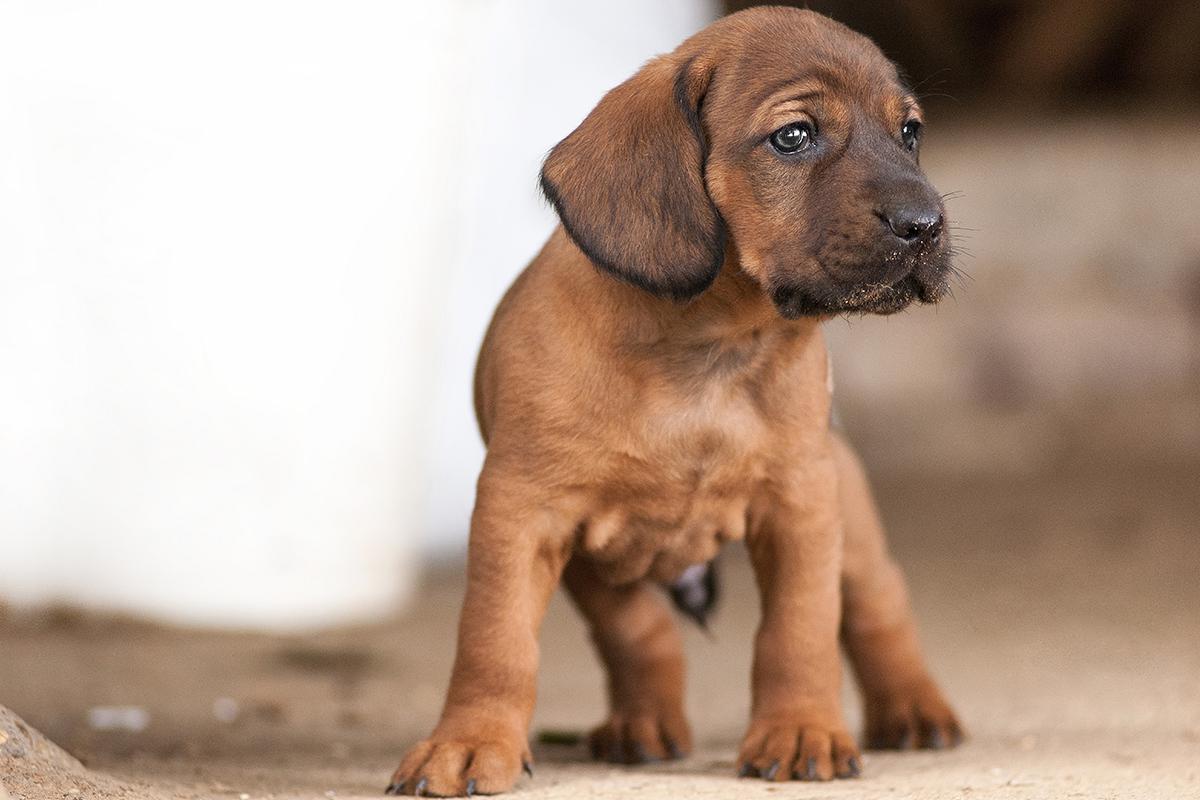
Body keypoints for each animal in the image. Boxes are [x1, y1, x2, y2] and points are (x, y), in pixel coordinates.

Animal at [388, 4, 960, 796]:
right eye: (794, 136)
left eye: (910, 132)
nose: (926, 224)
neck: (707, 349)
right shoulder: (522, 511)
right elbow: (495, 639)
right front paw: (469, 742)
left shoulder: (802, 503)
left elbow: (799, 629)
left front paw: (801, 729)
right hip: (600, 564)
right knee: (640, 631)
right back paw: (643, 725)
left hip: (850, 508)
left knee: (879, 600)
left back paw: (913, 707)